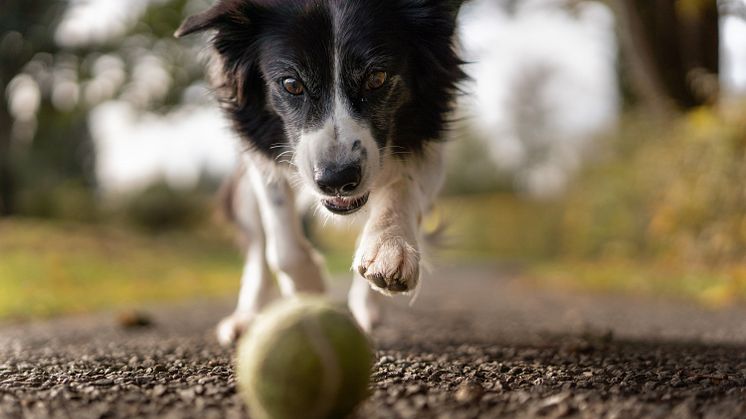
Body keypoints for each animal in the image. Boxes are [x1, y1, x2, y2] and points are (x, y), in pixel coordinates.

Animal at [176, 0, 464, 346]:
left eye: (377, 77)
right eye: (291, 84)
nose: (337, 180)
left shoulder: (430, 136)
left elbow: (402, 186)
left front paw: (388, 248)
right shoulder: (260, 151)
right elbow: (281, 245)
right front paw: (310, 290)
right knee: (258, 249)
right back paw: (245, 319)